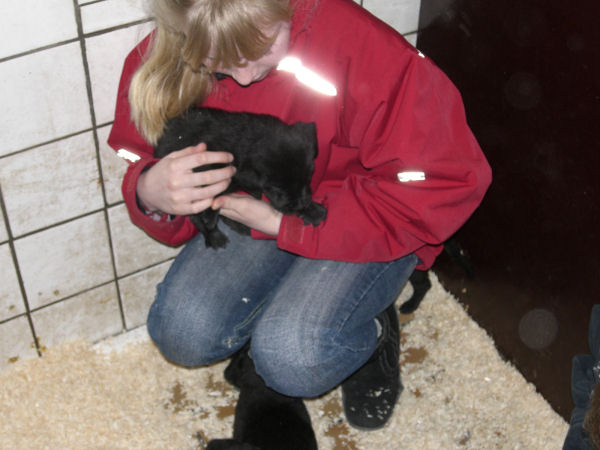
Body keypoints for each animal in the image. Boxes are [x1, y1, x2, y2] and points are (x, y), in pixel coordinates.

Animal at [154, 107, 327, 248]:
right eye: (278, 188)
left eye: (308, 178)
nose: (299, 205)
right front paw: (210, 216)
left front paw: (313, 210)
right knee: (194, 216)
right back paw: (214, 235)